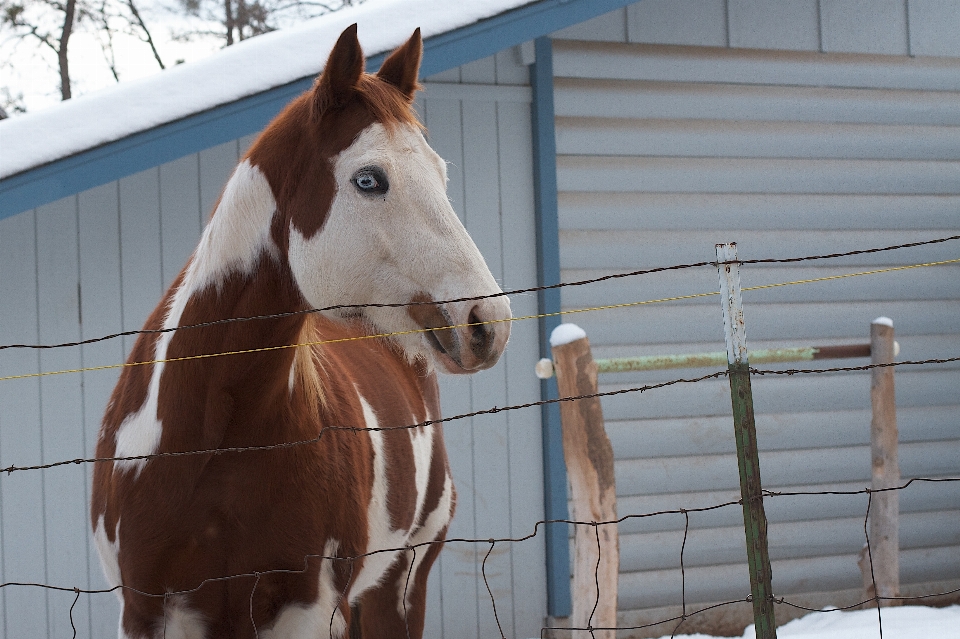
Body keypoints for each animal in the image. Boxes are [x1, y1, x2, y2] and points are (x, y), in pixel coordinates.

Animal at [90, 22, 510, 636]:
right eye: (369, 179)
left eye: (440, 174)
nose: (487, 323)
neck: (209, 440)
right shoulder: (144, 613)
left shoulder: (308, 611)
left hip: (401, 584)